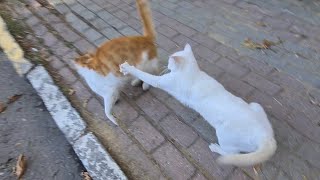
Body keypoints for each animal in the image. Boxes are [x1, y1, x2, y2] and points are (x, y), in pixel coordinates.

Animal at [119, 44, 276, 167]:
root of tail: (266, 137)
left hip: (224, 135)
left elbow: (144, 75)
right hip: (256, 105)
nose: (167, 65)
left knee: (231, 153)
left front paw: (127, 67)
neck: (193, 72)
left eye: (170, 61)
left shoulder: (161, 82)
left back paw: (215, 148)